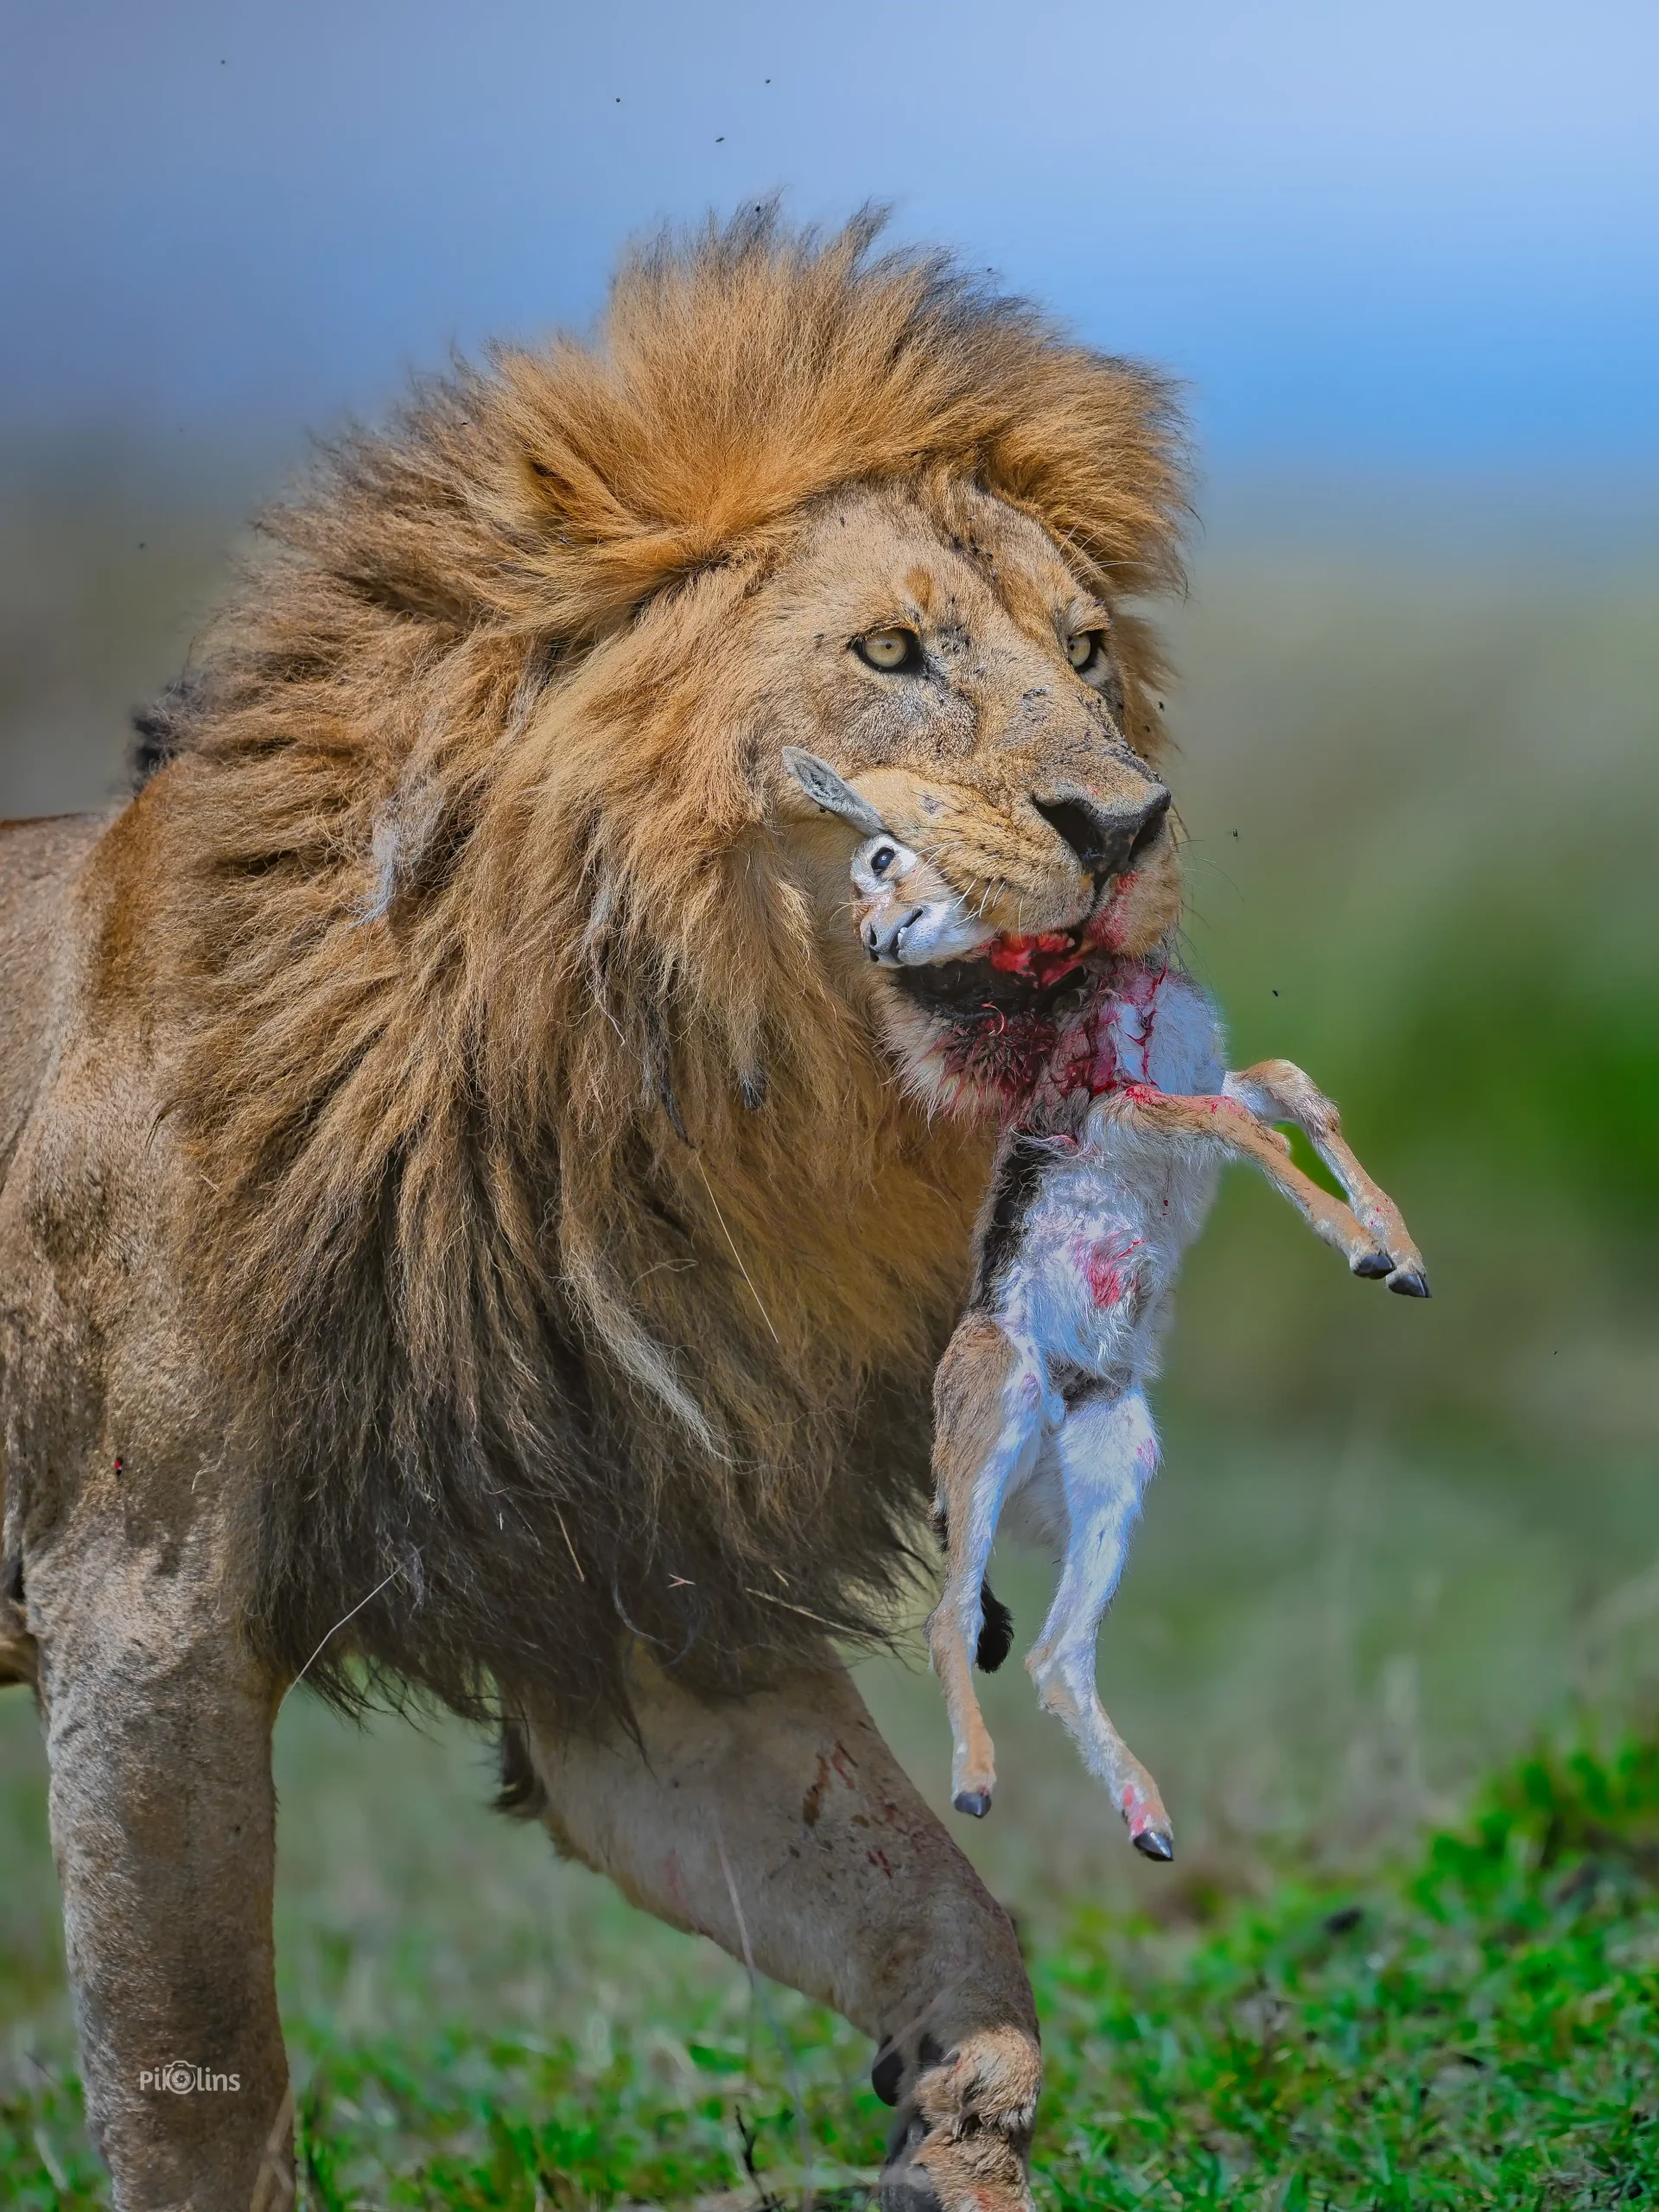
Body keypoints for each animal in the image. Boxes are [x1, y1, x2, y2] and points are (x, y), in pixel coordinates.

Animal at [0, 208, 1191, 2210]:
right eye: (893, 650)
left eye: (1090, 652)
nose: (1126, 824)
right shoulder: (142, 1611)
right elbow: (199, 2084)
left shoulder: (637, 1608)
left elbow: (933, 1914)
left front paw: (961, 2124)